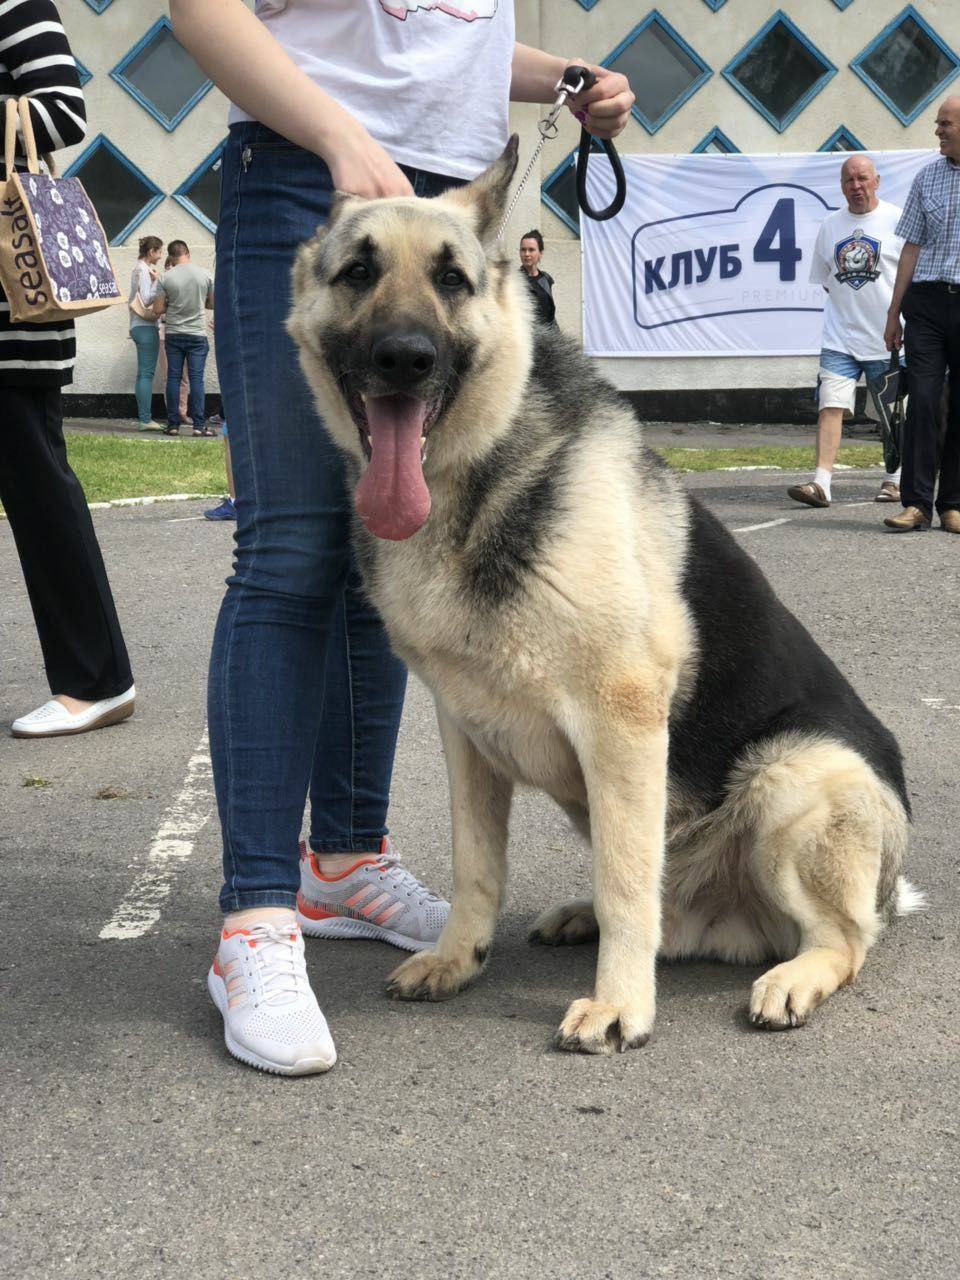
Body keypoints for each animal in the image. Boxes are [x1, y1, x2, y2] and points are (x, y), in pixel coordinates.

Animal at [288, 137, 926, 1059]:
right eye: (358, 271)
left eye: (451, 280)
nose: (405, 358)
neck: (475, 475)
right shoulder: (464, 733)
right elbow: (477, 866)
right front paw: (458, 957)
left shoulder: (622, 723)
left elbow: (629, 884)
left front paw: (622, 1003)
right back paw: (588, 917)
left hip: (793, 775)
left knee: (840, 937)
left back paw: (793, 975)